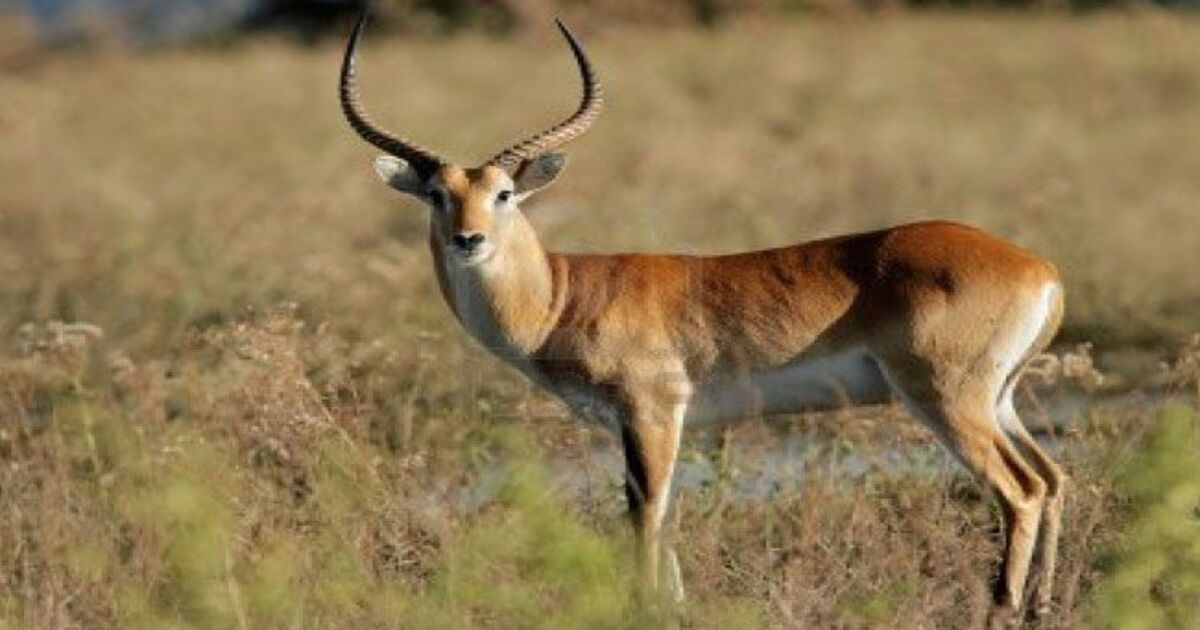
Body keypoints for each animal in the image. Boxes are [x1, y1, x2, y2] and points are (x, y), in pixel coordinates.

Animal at [338, 12, 1070, 619]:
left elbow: (644, 517)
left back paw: (1002, 607)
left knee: (1018, 491)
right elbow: (662, 522)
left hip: (944, 397)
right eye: (438, 194)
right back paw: (1041, 604)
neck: (561, 296)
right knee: (1051, 477)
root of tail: (1040, 268)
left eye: (504, 194)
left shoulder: (651, 410)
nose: (469, 240)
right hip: (998, 398)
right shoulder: (656, 422)